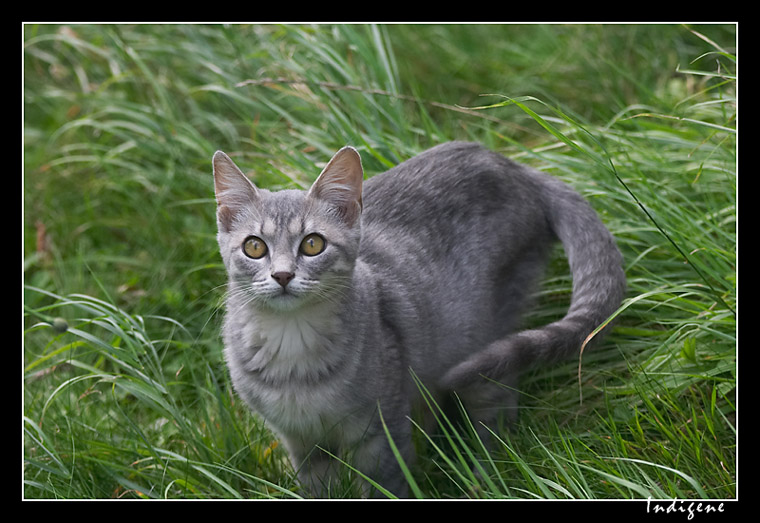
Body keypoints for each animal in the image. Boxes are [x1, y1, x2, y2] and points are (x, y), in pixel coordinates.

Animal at [212, 140, 624, 500]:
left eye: (313, 244)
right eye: (254, 247)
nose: (282, 275)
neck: (293, 350)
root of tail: (516, 167)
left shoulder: (381, 432)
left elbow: (385, 486)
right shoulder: (301, 443)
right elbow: (317, 489)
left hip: (484, 343)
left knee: (497, 409)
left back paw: (481, 476)